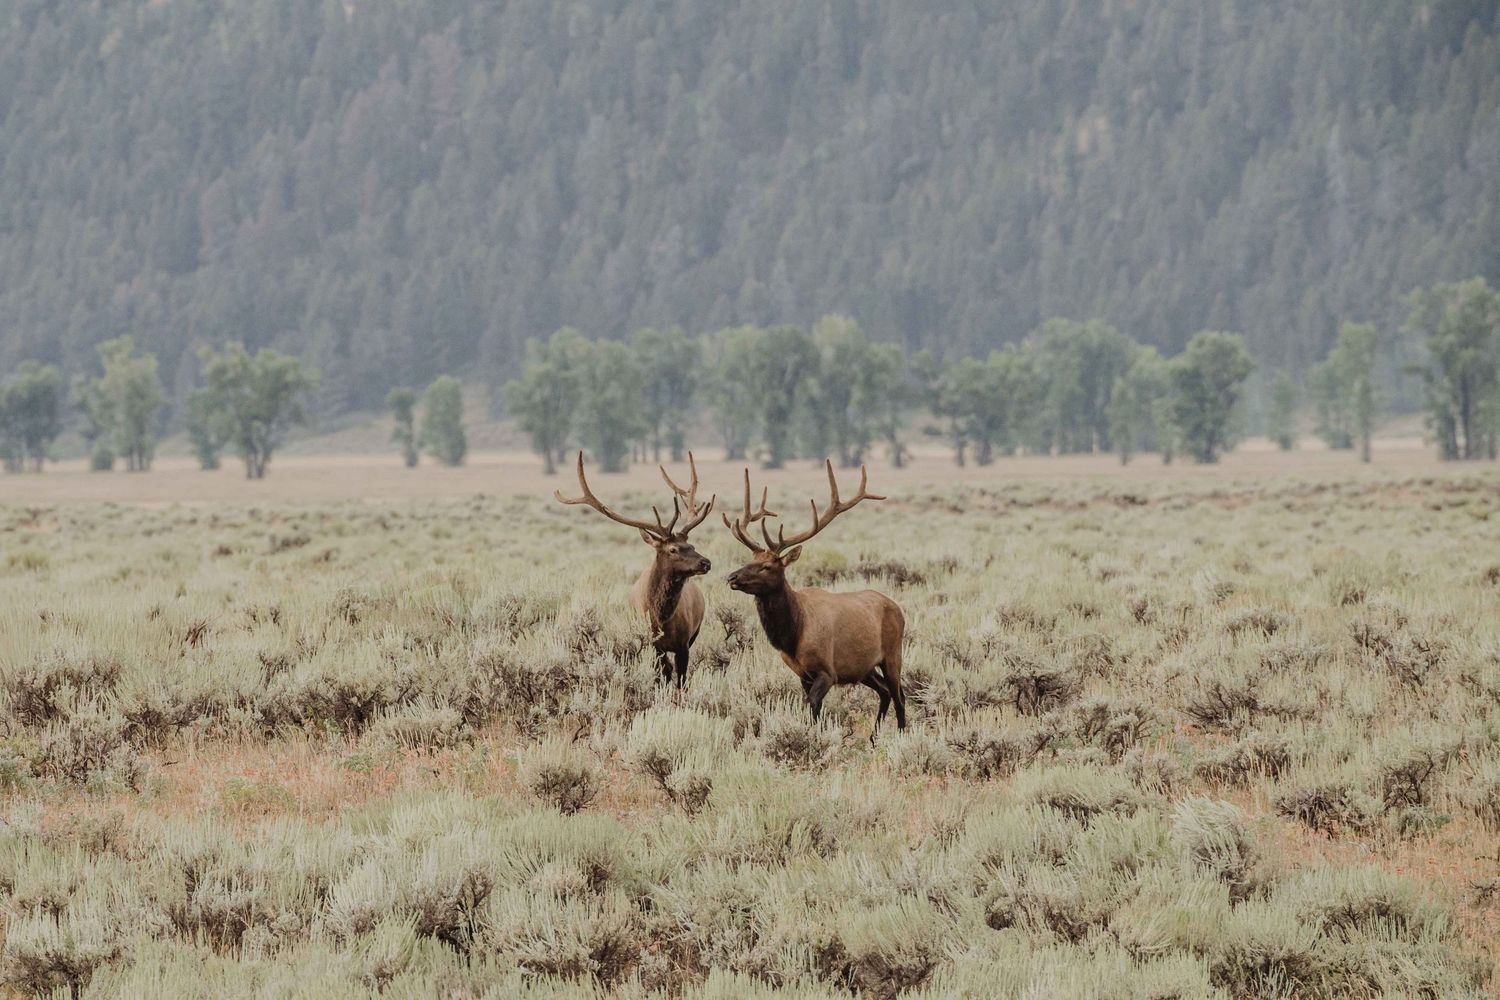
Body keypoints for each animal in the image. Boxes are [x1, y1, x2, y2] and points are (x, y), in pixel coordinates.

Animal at [554, 451, 715, 687]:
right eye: (673, 549)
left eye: (692, 546)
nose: (705, 562)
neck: (660, 621)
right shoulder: (653, 646)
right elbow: (663, 675)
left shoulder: (684, 643)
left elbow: (681, 681)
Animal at [722, 461, 907, 738]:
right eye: (750, 559)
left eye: (767, 566)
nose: (732, 577)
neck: (793, 634)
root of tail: (898, 608)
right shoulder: (802, 673)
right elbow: (811, 708)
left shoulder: (827, 670)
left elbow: (812, 706)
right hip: (864, 667)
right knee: (885, 692)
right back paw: (874, 738)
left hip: (893, 653)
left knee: (899, 696)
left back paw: (902, 736)